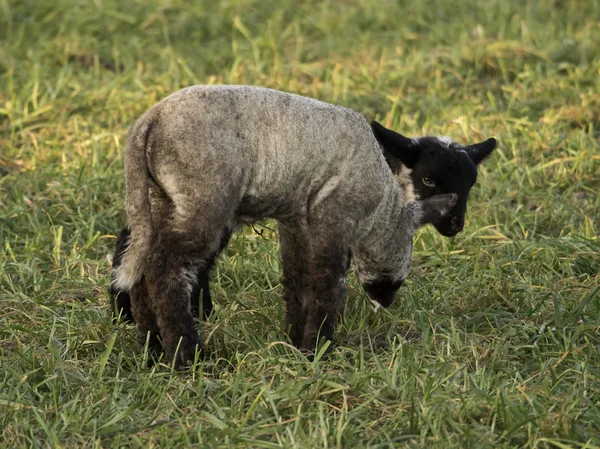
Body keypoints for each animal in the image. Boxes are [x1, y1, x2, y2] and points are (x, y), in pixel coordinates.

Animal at [111, 85, 492, 368]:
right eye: (428, 179)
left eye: (472, 183)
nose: (456, 225)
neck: (383, 201)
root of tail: (148, 122)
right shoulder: (334, 215)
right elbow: (326, 282)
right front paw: (317, 349)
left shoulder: (296, 220)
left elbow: (297, 277)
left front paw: (294, 341)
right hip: (204, 196)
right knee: (165, 270)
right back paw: (186, 356)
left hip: (160, 199)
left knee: (142, 264)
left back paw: (151, 349)